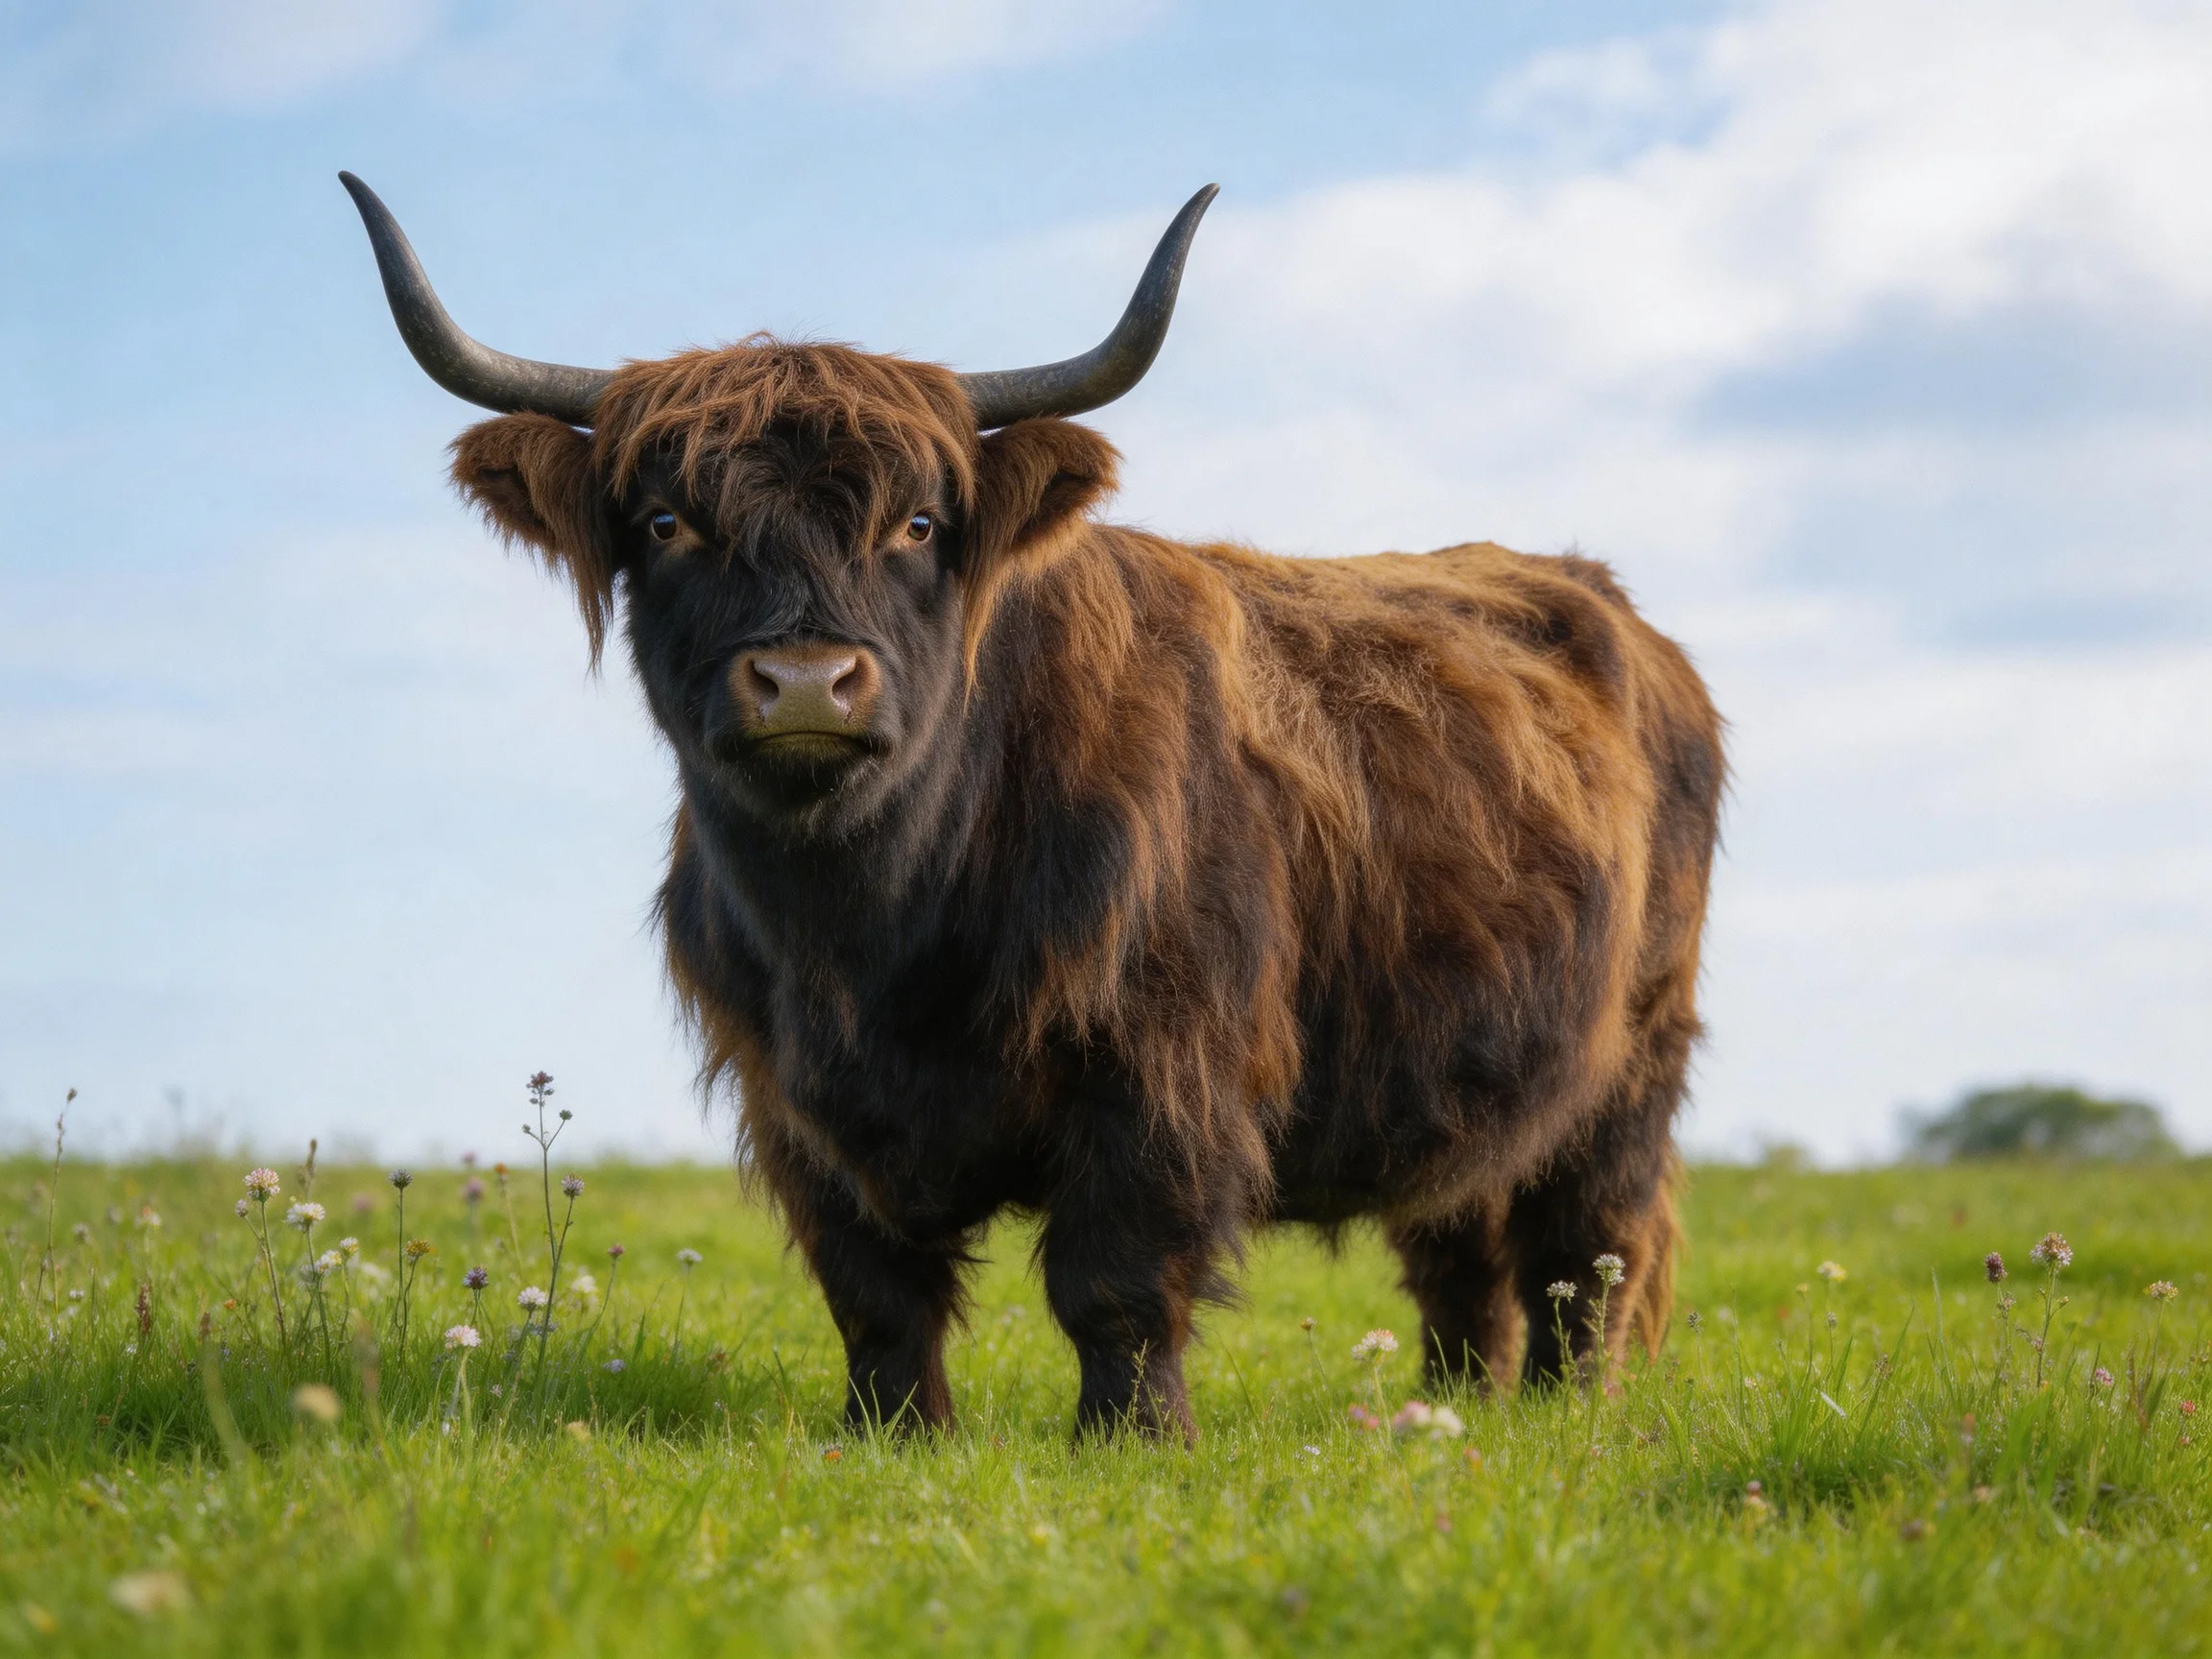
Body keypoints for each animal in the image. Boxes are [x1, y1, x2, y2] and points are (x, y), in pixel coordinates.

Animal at [341, 173, 1724, 1442]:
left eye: (917, 524)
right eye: (671, 521)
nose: (807, 681)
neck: (870, 922)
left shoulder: (1162, 1065)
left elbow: (1115, 1279)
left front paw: (1132, 1438)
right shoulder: (795, 1097)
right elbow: (875, 1291)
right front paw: (893, 1433)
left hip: (1632, 1059)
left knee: (1588, 1250)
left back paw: (1567, 1413)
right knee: (1459, 1248)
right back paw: (1457, 1408)